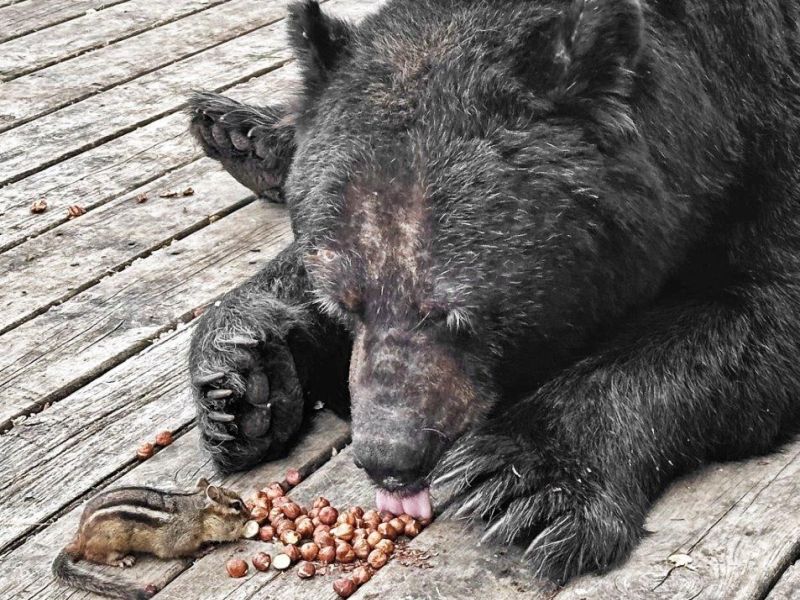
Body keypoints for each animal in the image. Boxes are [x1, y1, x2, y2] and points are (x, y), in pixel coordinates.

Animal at [186, 0, 800, 582]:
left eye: (459, 314)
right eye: (344, 304)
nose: (389, 457)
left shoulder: (769, 120)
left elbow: (760, 316)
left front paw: (523, 476)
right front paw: (240, 379)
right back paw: (239, 132)